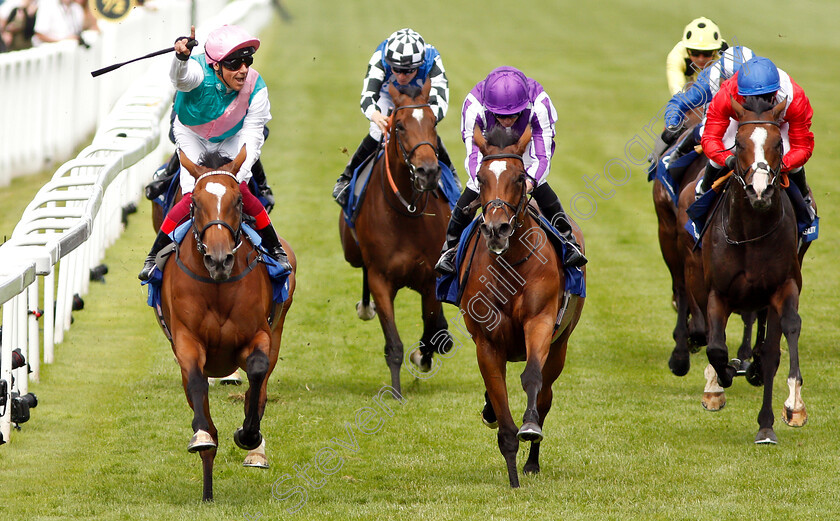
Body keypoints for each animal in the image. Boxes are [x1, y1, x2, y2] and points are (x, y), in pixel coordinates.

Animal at [159, 147, 296, 500]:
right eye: (194, 202)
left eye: (238, 201)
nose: (219, 260)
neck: (217, 285)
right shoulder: (186, 341)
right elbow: (196, 383)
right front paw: (202, 437)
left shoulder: (259, 335)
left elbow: (258, 373)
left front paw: (249, 436)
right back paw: (207, 486)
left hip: (278, 329)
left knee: (259, 390)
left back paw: (255, 449)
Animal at [338, 79, 452, 394]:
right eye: (399, 126)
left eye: (433, 122)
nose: (428, 172)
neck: (407, 212)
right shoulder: (381, 278)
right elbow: (394, 343)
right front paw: (397, 393)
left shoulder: (430, 278)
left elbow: (431, 328)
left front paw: (426, 353)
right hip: (352, 253)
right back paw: (366, 307)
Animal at [460, 126, 584, 488]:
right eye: (480, 177)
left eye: (518, 177)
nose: (496, 229)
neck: (511, 263)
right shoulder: (487, 342)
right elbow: (501, 410)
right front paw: (512, 477)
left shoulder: (540, 321)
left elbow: (532, 377)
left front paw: (529, 429)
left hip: (560, 345)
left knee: (545, 395)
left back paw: (533, 460)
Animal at [700, 95, 804, 440]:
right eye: (740, 144)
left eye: (778, 144)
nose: (760, 190)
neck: (751, 233)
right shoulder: (718, 292)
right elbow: (716, 347)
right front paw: (721, 380)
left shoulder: (784, 286)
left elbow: (788, 331)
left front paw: (794, 406)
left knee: (771, 349)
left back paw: (766, 423)